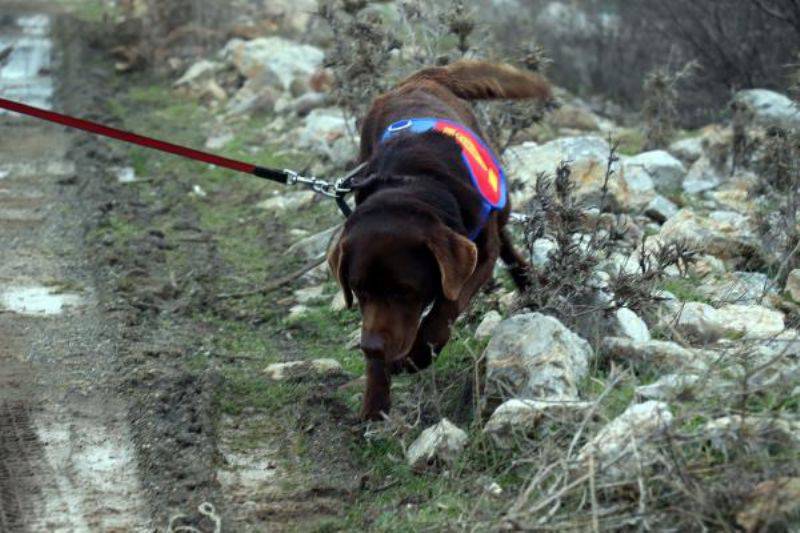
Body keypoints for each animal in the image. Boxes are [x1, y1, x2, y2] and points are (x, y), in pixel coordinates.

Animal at [328, 60, 552, 420]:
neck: (413, 184)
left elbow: (445, 308)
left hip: (499, 203)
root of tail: (420, 79)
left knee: (505, 240)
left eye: (404, 291)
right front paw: (375, 401)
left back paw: (528, 281)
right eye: (359, 290)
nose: (372, 348)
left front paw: (417, 355)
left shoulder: (479, 255)